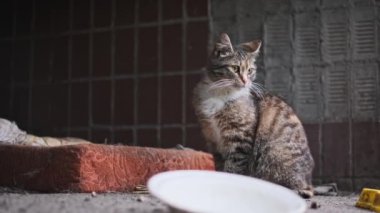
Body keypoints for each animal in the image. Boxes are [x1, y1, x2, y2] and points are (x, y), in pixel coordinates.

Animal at [193, 33, 314, 198]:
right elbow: (219, 165)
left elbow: (234, 167)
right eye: (235, 68)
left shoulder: (240, 138)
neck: (220, 94)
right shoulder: (212, 139)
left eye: (250, 70)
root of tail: (307, 180)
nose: (245, 81)